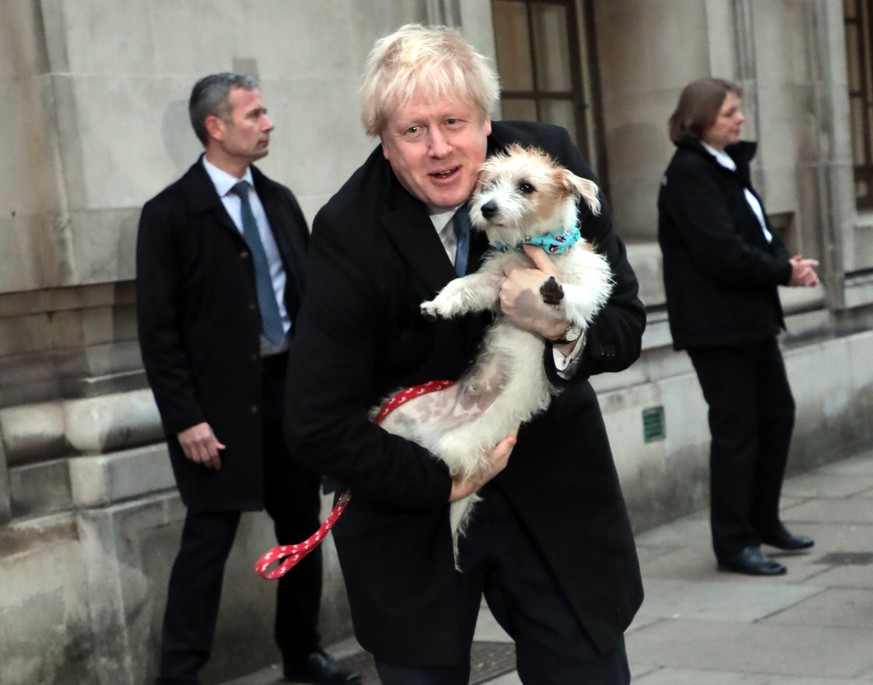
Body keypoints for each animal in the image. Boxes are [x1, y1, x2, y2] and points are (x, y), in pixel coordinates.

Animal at [374, 143, 612, 560]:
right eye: (490, 184)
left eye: (526, 186)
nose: (486, 208)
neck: (533, 248)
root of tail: (437, 433)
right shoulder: (492, 282)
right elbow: (464, 285)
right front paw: (439, 305)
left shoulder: (591, 282)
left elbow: (576, 296)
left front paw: (555, 293)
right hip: (398, 413)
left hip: (460, 442)